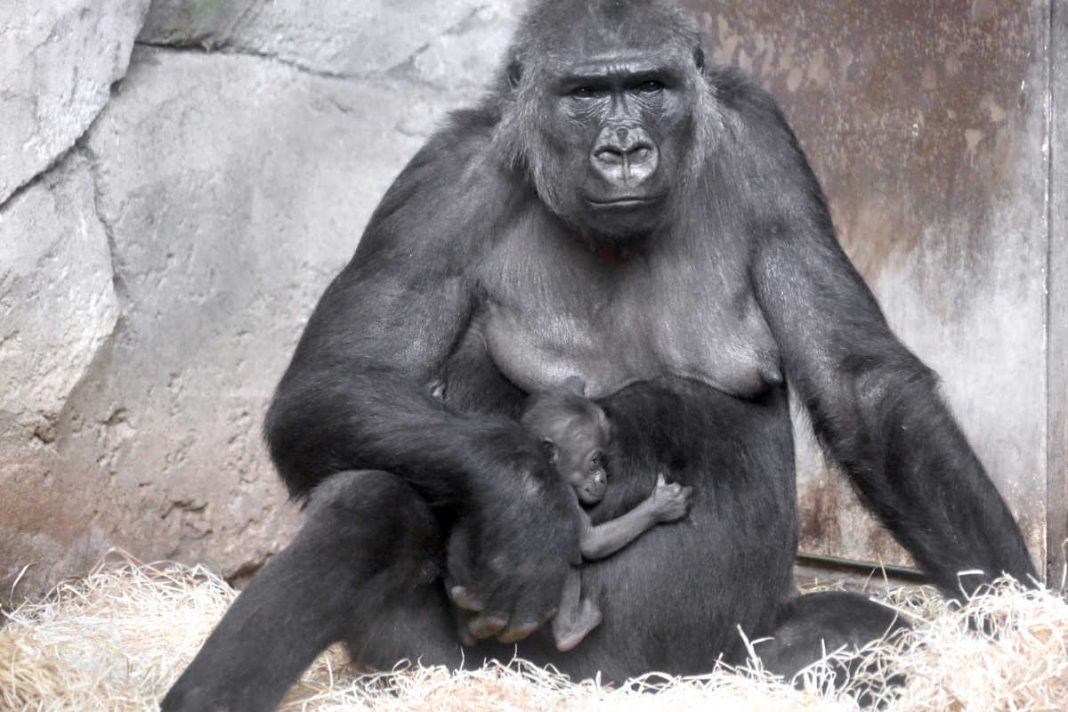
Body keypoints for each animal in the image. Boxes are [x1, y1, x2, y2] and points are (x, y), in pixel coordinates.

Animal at [448, 382, 692, 653]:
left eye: (603, 461)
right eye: (595, 461)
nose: (603, 479)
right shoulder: (565, 492)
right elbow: (589, 543)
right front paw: (659, 506)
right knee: (568, 563)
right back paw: (569, 633)